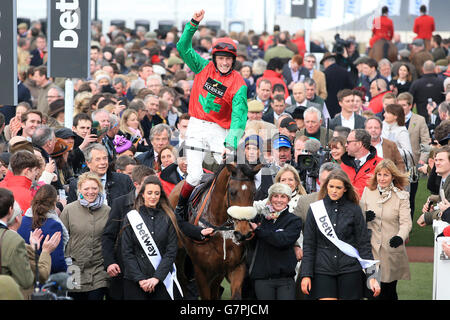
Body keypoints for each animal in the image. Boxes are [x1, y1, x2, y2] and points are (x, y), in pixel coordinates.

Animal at [169, 162, 262, 300]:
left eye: (254, 192)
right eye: (232, 192)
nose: (243, 233)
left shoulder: (235, 266)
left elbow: (235, 295)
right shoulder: (201, 270)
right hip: (179, 254)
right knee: (182, 280)